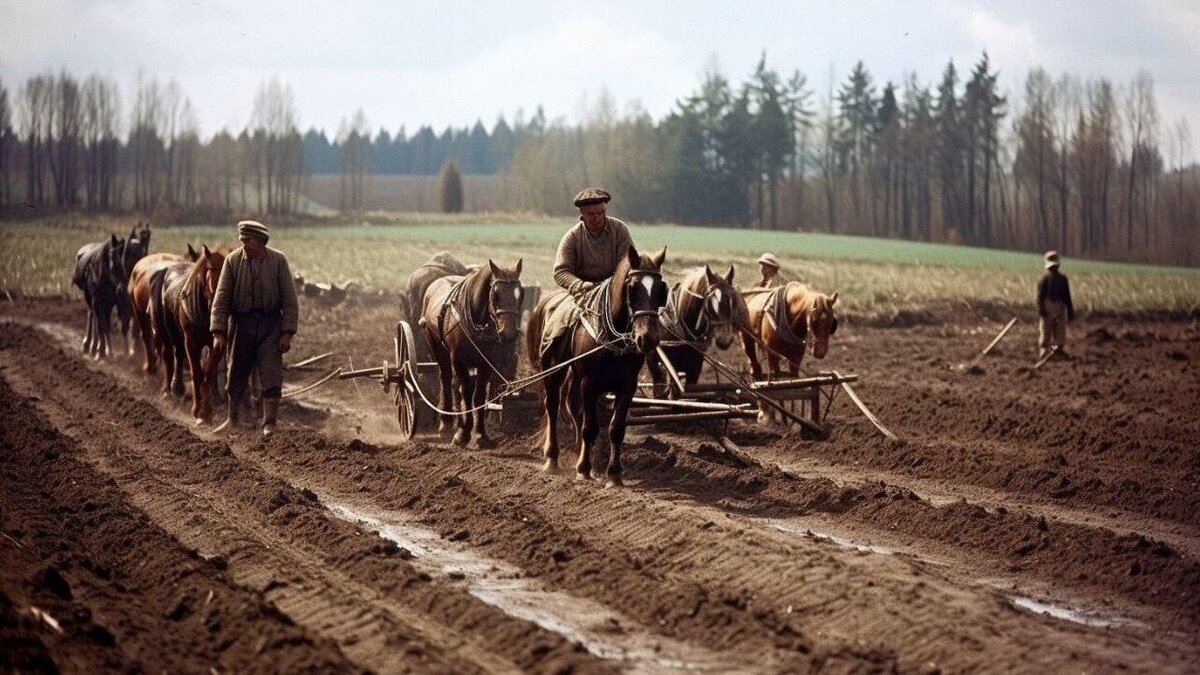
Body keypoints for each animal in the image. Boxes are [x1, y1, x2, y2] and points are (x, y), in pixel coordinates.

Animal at [159, 241, 225, 420]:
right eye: (211, 269)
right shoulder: (191, 341)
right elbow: (196, 372)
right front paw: (196, 409)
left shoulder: (217, 343)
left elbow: (208, 372)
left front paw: (206, 410)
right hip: (171, 334)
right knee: (175, 354)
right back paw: (173, 389)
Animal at [420, 257, 523, 446]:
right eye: (495, 294)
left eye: (521, 294)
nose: (509, 332)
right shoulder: (457, 360)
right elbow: (467, 392)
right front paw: (462, 435)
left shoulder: (486, 362)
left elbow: (479, 395)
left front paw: (480, 434)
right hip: (436, 346)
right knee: (446, 378)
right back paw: (446, 424)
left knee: (456, 386)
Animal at [528, 243, 672, 485]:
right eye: (632, 289)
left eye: (661, 290)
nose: (648, 338)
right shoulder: (590, 383)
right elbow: (590, 427)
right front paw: (584, 470)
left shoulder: (628, 385)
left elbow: (616, 428)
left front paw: (613, 474)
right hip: (554, 370)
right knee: (553, 406)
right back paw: (553, 459)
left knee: (573, 406)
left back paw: (581, 453)